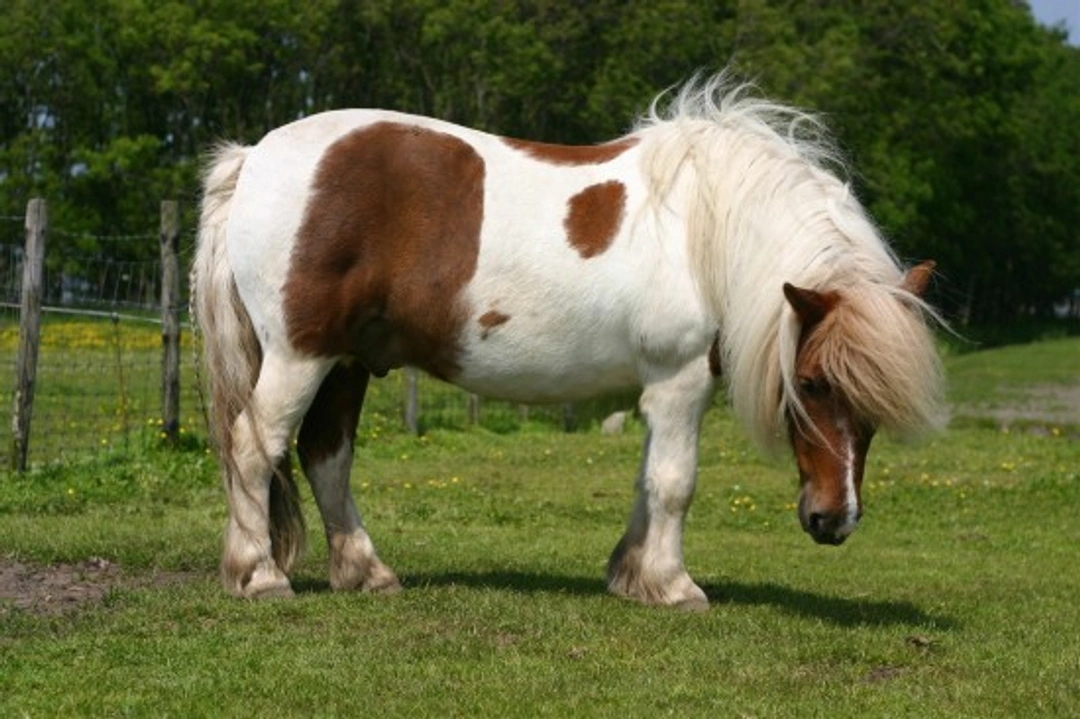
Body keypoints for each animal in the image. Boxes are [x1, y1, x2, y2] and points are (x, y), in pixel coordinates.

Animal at [192, 74, 945, 608]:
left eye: (874, 404)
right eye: (812, 383)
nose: (833, 520)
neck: (706, 230)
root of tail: (254, 157)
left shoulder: (658, 387)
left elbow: (649, 478)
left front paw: (632, 574)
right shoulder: (680, 378)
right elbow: (675, 482)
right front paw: (674, 586)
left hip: (347, 360)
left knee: (327, 456)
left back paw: (366, 571)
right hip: (301, 353)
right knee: (254, 445)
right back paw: (259, 574)